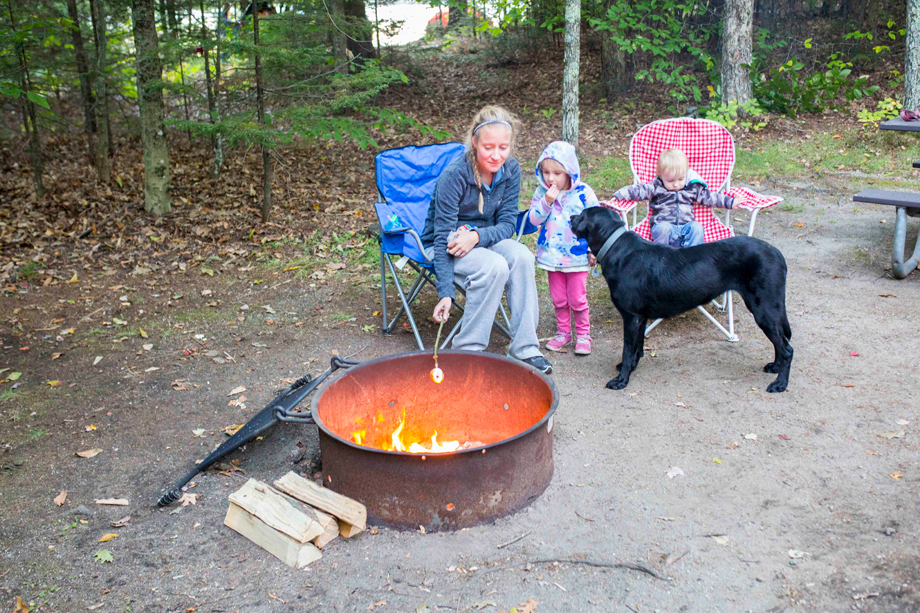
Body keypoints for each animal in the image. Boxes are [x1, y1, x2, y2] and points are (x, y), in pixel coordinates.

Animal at [568, 208, 792, 392]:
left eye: (582, 215)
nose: (570, 217)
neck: (615, 247)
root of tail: (777, 253)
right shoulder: (640, 317)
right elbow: (638, 348)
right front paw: (629, 368)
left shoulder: (631, 317)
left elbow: (627, 350)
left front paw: (621, 380)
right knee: (782, 342)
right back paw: (774, 367)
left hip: (763, 308)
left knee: (787, 349)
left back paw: (780, 384)